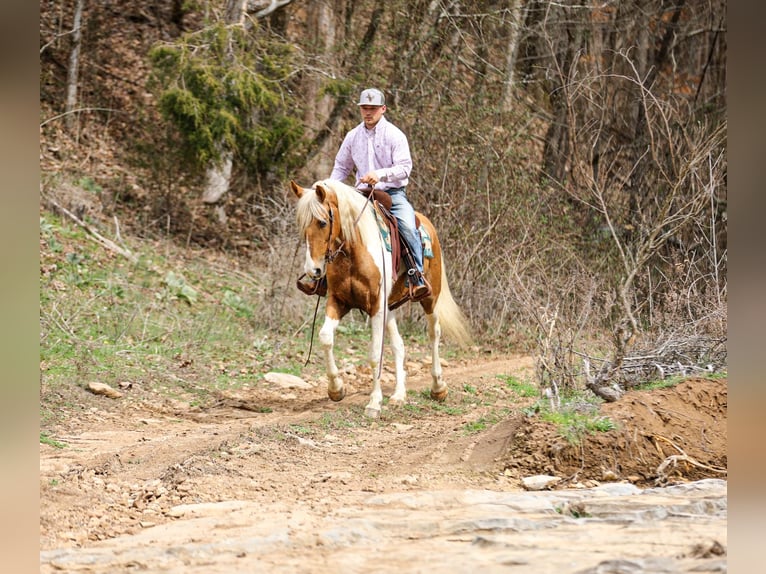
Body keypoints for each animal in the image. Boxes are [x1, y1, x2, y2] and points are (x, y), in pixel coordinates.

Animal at [291, 179, 471, 418]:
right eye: (302, 225)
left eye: (322, 222)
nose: (314, 270)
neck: (353, 251)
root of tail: (426, 223)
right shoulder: (339, 301)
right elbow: (325, 337)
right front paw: (336, 389)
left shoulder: (376, 305)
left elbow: (375, 354)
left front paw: (374, 403)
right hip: (391, 306)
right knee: (399, 345)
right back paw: (399, 395)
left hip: (429, 298)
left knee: (434, 334)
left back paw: (438, 387)